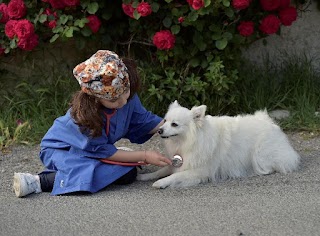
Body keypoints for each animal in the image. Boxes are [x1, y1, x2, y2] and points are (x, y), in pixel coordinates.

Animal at [137, 100, 300, 189]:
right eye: (165, 121)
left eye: (174, 124)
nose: (159, 130)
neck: (190, 140)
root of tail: (267, 120)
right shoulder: (179, 162)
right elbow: (161, 171)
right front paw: (145, 176)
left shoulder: (199, 171)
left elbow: (175, 176)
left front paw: (161, 182)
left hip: (261, 155)